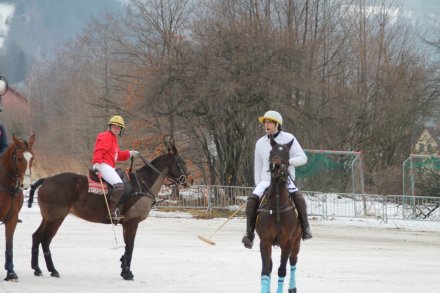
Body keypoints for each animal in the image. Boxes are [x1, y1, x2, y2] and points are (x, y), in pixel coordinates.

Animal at [27, 140, 192, 280]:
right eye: (181, 162)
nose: (190, 180)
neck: (143, 184)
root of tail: (46, 180)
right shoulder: (132, 222)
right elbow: (130, 247)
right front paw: (127, 273)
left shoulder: (126, 223)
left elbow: (127, 247)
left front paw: (124, 269)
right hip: (57, 217)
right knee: (45, 240)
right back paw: (53, 270)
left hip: (47, 217)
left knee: (36, 236)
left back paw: (37, 269)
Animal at [254, 137, 302, 292]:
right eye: (271, 152)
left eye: (286, 154)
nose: (275, 166)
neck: (276, 204)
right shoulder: (265, 241)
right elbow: (266, 269)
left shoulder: (288, 241)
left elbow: (282, 270)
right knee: (271, 266)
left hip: (297, 241)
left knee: (293, 260)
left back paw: (293, 287)